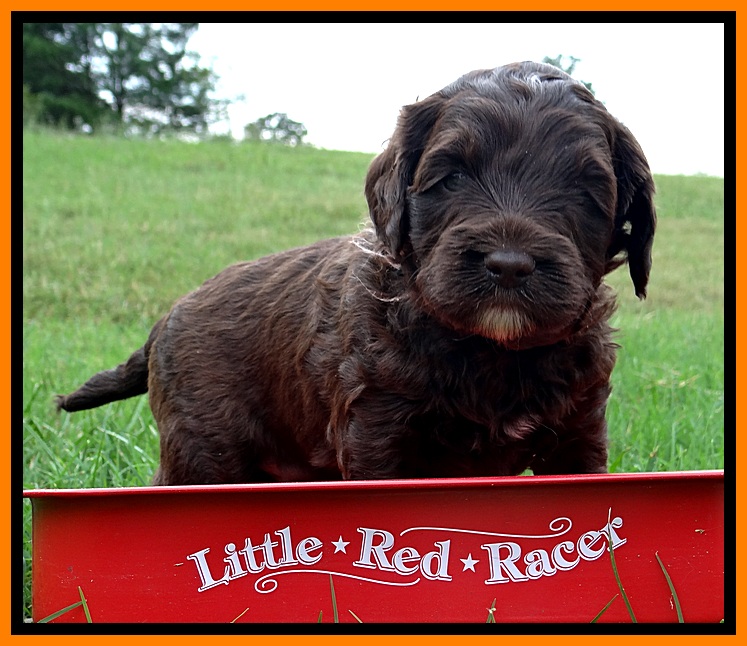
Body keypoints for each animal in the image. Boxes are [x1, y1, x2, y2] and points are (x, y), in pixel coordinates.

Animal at [57, 62, 656, 485]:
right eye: (451, 177)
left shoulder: (578, 431)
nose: (509, 266)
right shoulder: (378, 430)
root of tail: (166, 318)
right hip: (201, 452)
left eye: (586, 191)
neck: (491, 353)